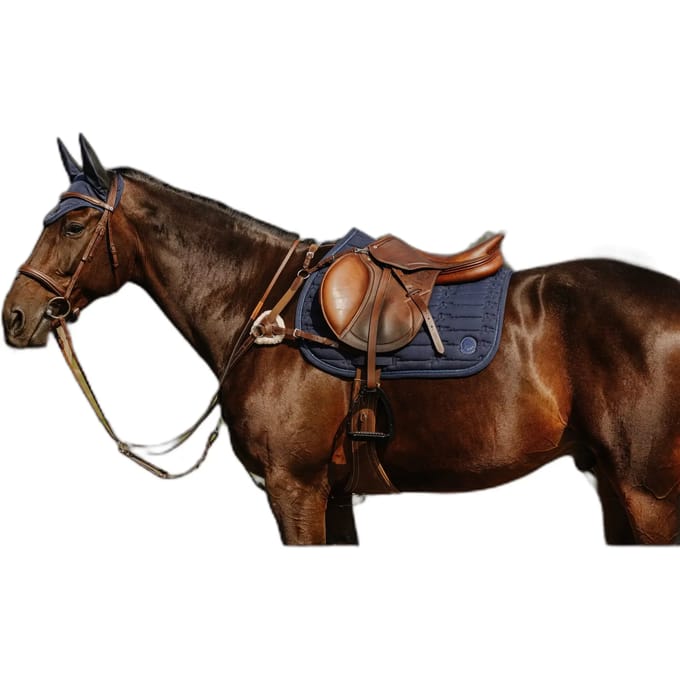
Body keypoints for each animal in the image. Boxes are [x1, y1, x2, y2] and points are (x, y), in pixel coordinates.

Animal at [4, 135, 680, 545]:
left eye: (72, 225)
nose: (15, 316)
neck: (265, 309)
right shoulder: (331, 496)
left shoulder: (293, 488)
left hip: (647, 495)